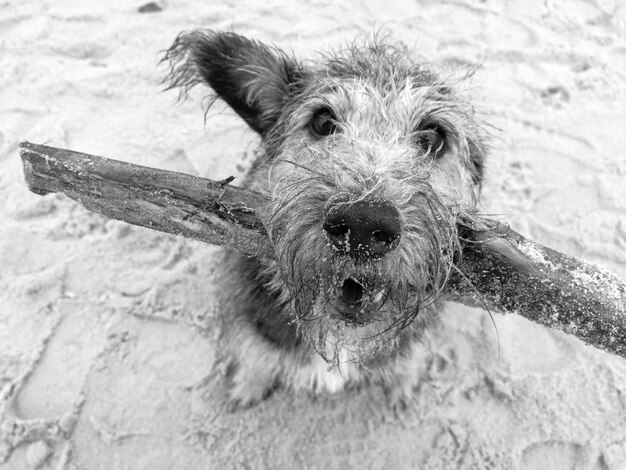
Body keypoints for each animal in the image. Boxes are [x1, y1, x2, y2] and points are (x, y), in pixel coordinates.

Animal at [165, 32, 488, 408]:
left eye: (434, 137)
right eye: (322, 122)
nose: (362, 223)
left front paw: (402, 390)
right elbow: (254, 361)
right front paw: (246, 389)